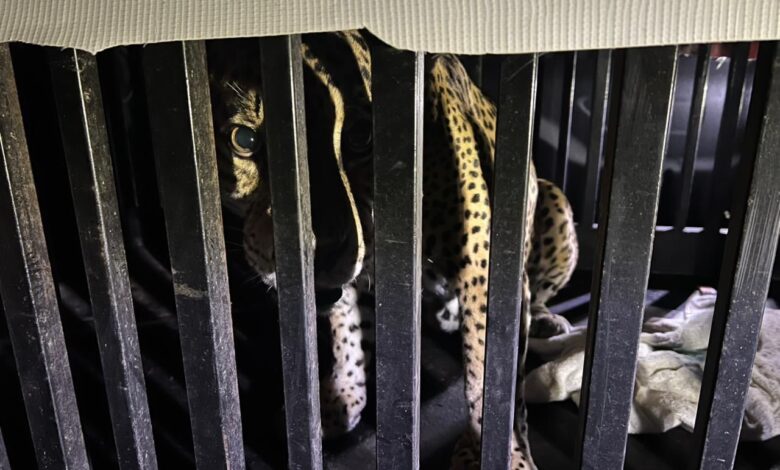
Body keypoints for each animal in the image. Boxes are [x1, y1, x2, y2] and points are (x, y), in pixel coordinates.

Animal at [207, 30, 578, 469]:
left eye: (361, 137)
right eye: (244, 141)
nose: (319, 251)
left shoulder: (486, 270)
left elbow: (490, 375)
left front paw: (501, 454)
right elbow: (349, 331)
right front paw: (343, 397)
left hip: (556, 203)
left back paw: (545, 322)